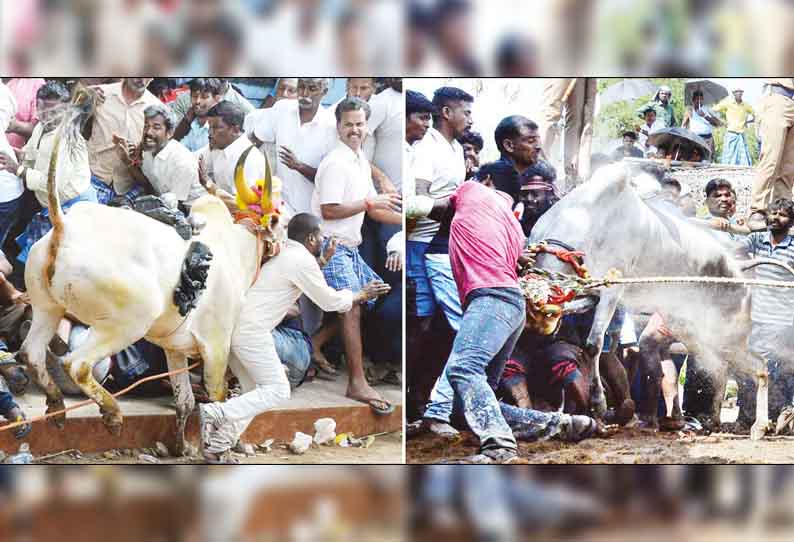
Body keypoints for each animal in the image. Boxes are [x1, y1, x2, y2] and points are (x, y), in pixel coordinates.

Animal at [17, 99, 260, 460]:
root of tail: (63, 226)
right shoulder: (217, 346)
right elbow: (215, 398)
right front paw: (214, 450)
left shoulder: (176, 349)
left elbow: (185, 400)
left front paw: (182, 447)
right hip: (128, 321)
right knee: (76, 364)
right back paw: (112, 414)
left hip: (48, 306)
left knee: (31, 353)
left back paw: (57, 406)